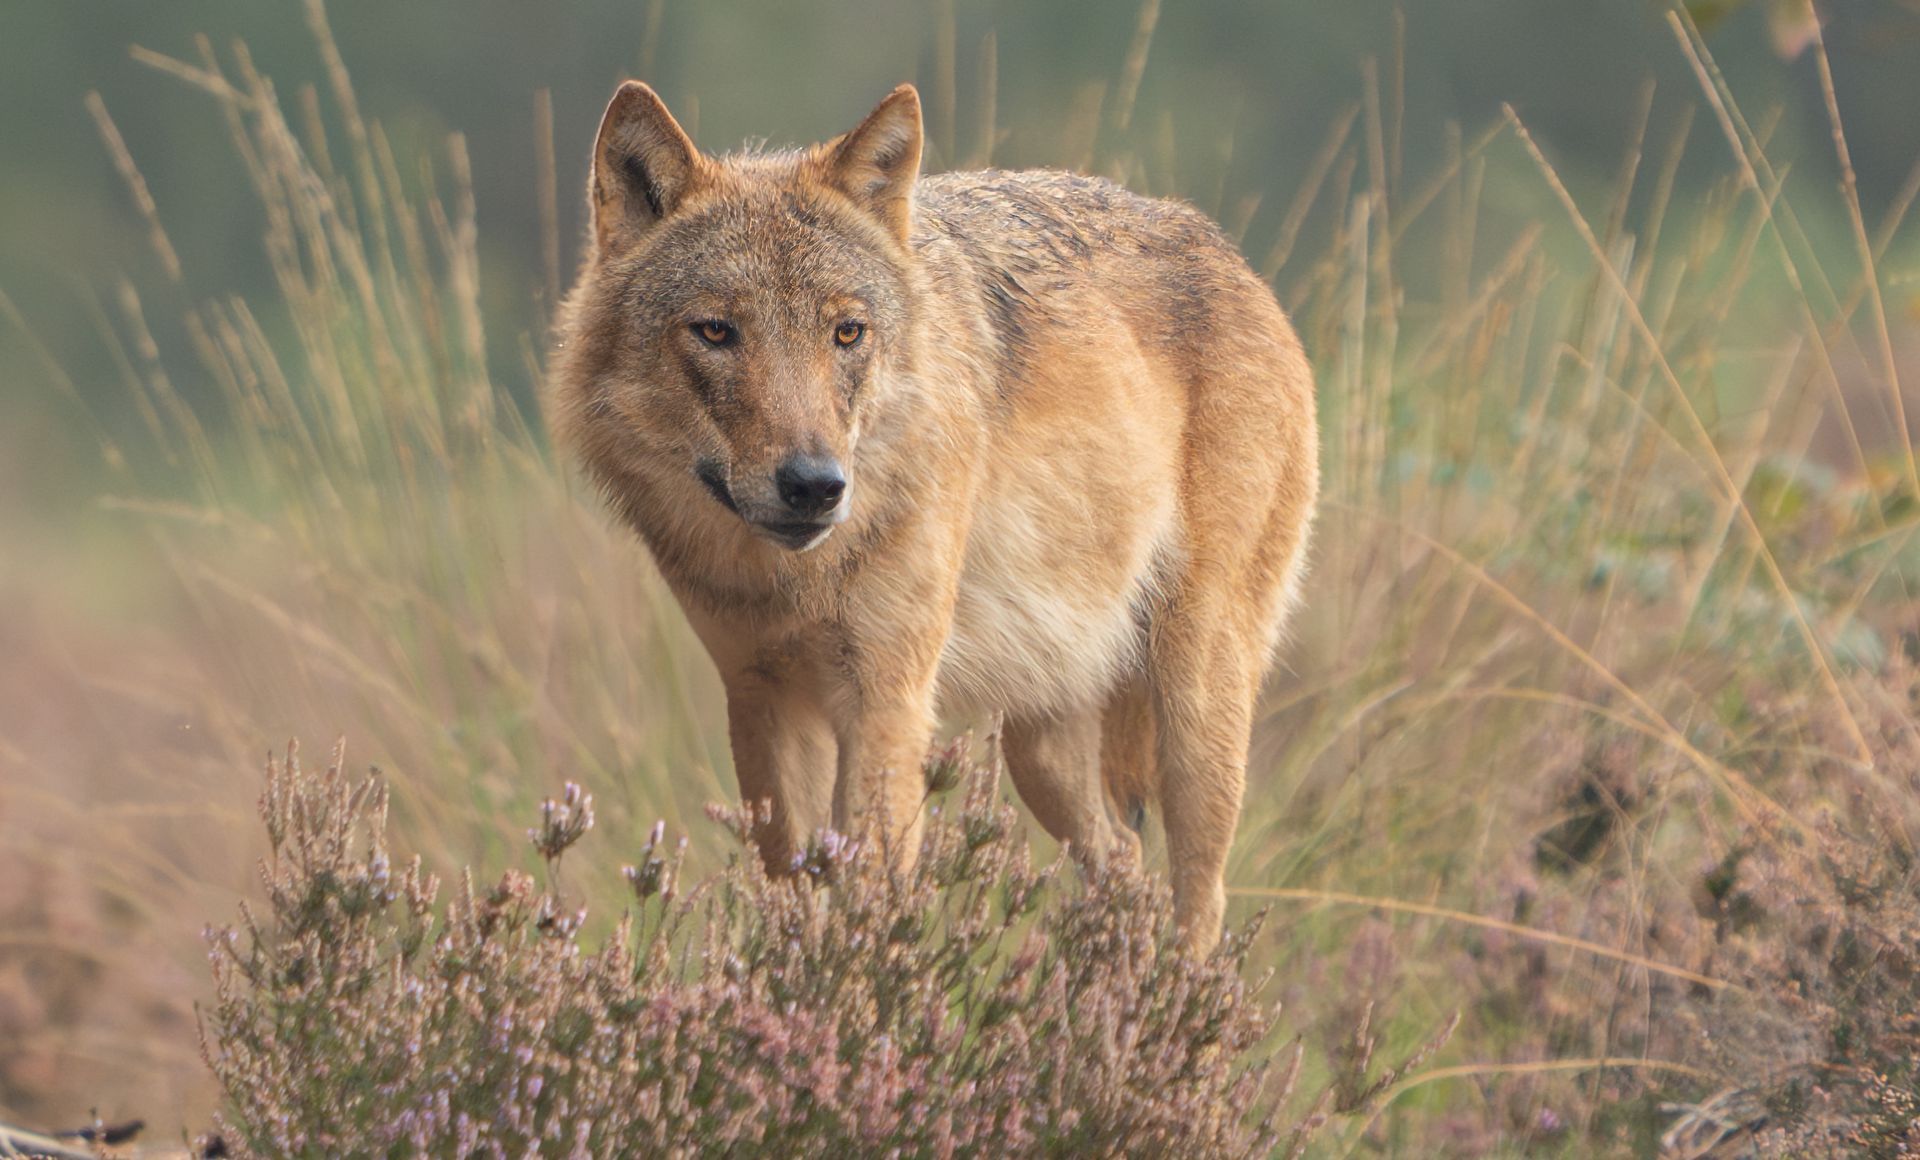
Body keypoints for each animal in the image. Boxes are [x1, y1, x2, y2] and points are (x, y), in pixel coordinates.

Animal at [552, 81, 1318, 952]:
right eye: (717, 331)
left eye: (847, 332)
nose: (815, 486)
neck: (794, 580)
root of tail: (1232, 256)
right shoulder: (760, 699)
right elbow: (794, 895)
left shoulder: (887, 700)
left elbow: (864, 899)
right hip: (1040, 749)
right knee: (1125, 870)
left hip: (1196, 701)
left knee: (1200, 902)